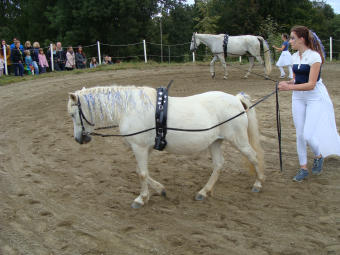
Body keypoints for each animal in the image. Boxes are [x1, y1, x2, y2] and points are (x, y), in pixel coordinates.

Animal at [68, 84, 266, 208]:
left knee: (254, 157)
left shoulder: (139, 147)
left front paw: (141, 199)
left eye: (72, 114)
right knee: (218, 165)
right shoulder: (145, 148)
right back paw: (204, 192)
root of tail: (236, 99)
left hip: (238, 140)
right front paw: (160, 190)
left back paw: (258, 183)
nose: (79, 139)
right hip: (215, 142)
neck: (130, 109)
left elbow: (141, 173)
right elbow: (142, 172)